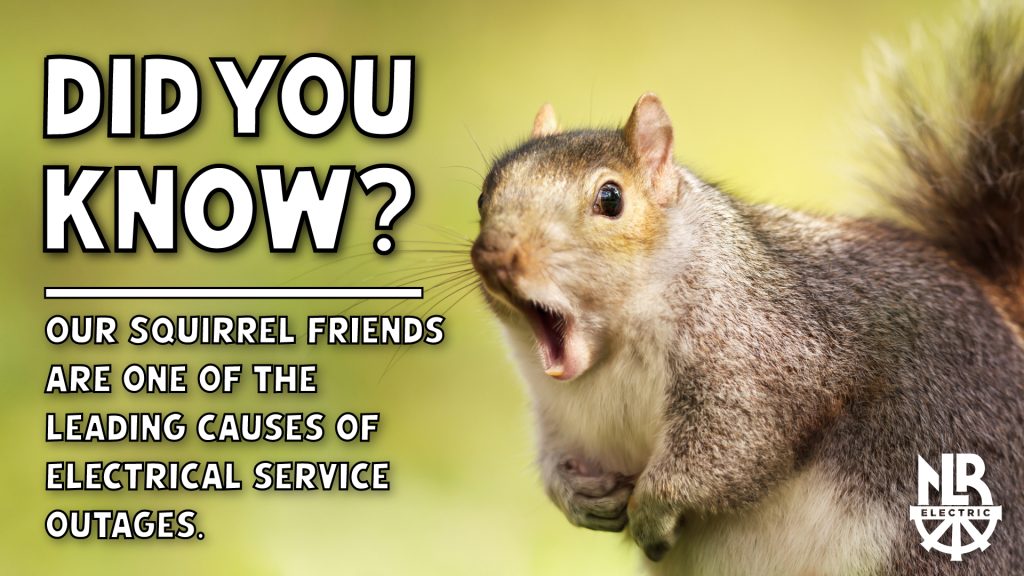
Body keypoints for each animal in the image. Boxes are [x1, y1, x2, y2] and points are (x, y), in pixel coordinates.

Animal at [470, 3, 1023, 575]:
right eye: (484, 195)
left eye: (610, 198)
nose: (495, 255)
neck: (612, 352)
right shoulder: (559, 413)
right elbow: (556, 457)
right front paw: (574, 495)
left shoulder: (764, 353)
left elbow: (733, 445)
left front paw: (652, 509)